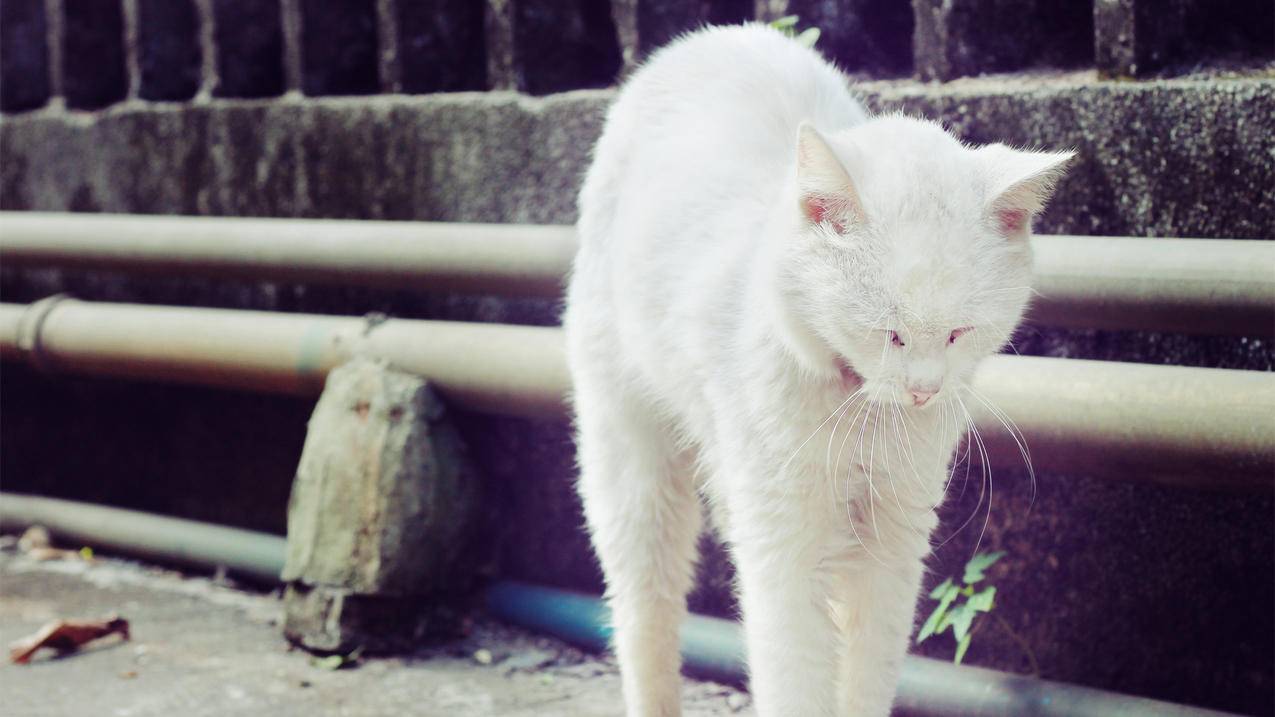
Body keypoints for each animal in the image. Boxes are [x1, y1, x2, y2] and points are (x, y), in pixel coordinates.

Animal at [563, 23, 1071, 714]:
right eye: (889, 333)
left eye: (959, 333)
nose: (924, 390)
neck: (861, 409)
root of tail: (706, 39)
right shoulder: (784, 544)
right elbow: (794, 671)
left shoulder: (894, 537)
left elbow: (866, 670)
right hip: (633, 467)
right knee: (646, 613)